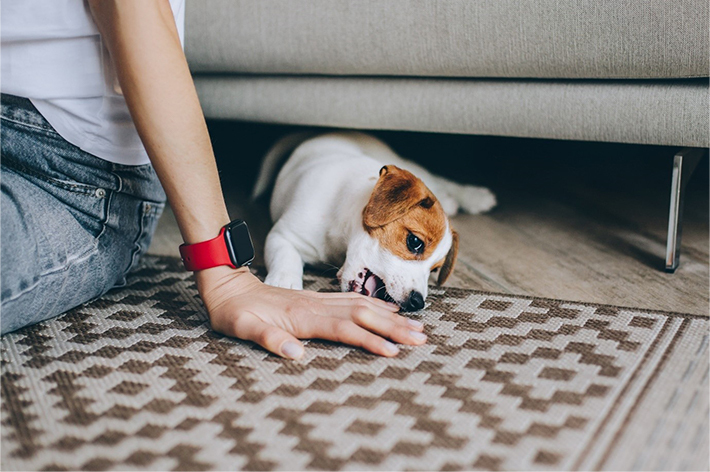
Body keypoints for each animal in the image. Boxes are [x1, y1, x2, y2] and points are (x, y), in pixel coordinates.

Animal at [253, 131, 498, 312]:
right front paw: (283, 284)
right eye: (415, 242)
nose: (417, 303)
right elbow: (286, 257)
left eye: (435, 269)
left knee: (439, 181)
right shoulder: (283, 235)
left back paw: (472, 197)